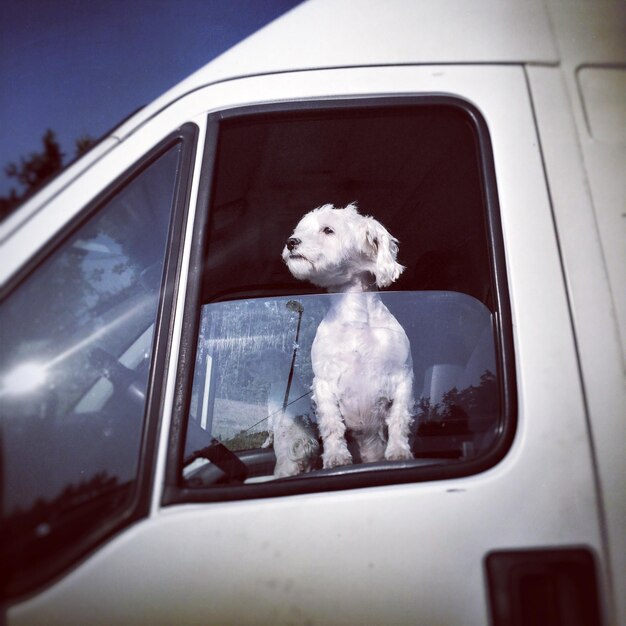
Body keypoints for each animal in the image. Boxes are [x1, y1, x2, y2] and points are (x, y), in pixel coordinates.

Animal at [280, 202, 412, 466]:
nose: (291, 241)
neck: (355, 320)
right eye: (300, 229)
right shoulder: (324, 383)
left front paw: (398, 450)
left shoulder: (402, 377)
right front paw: (336, 456)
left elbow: (398, 418)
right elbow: (332, 425)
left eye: (328, 230)